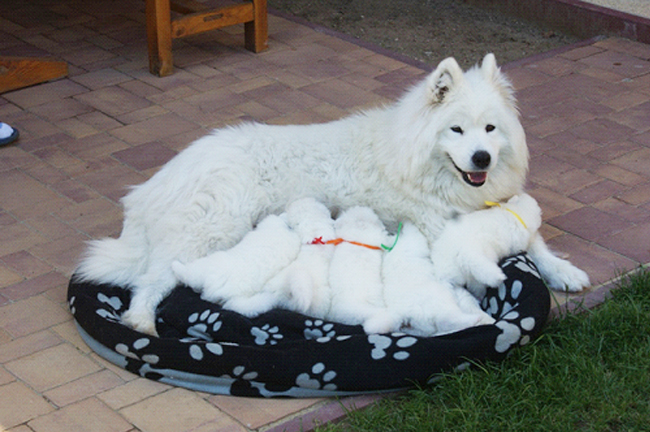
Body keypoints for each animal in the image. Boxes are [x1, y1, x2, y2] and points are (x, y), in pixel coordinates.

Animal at [76, 51, 588, 334]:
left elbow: (537, 244)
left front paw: (566, 272)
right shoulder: (442, 230)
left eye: (490, 129)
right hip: (210, 230)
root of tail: (160, 179)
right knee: (150, 281)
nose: (481, 159)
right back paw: (141, 322)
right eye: (456, 130)